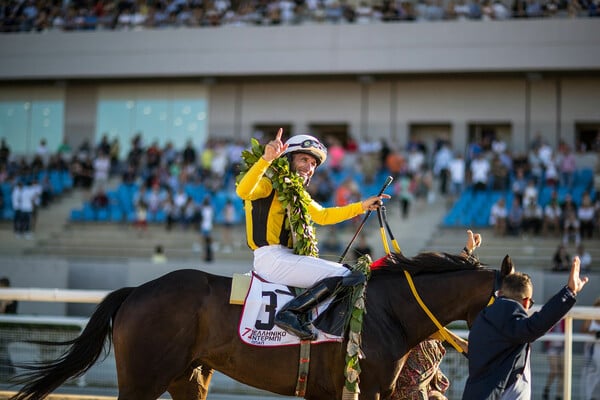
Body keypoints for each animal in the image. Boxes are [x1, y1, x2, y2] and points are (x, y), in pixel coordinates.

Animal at [11, 252, 512, 398]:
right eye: (518, 300)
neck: (387, 309)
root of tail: (136, 291)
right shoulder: (365, 390)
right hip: (142, 379)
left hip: (186, 377)